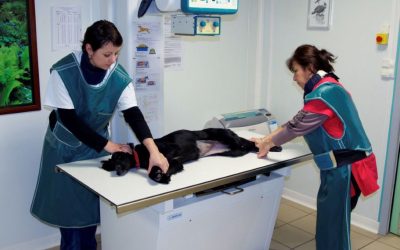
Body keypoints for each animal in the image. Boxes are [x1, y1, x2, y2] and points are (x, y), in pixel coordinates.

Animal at [101, 129, 282, 184]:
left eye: (119, 157)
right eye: (112, 164)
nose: (117, 170)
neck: (141, 155)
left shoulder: (171, 150)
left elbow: (164, 162)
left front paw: (159, 175)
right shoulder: (177, 164)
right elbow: (162, 170)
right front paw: (162, 176)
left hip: (225, 136)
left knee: (248, 142)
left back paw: (276, 147)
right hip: (234, 152)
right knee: (249, 146)